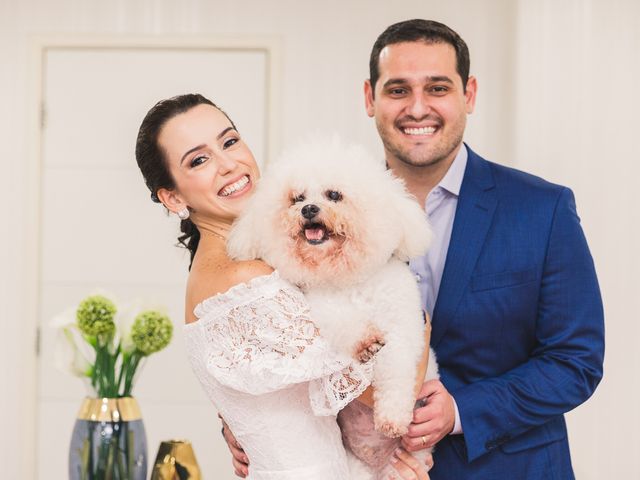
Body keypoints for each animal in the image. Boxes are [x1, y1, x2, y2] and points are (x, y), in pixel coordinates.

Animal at [229, 136, 440, 476]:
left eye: (334, 195)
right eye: (297, 198)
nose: (308, 209)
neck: (348, 280)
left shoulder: (402, 329)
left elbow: (395, 368)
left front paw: (392, 417)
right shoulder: (322, 308)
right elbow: (345, 325)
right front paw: (365, 342)